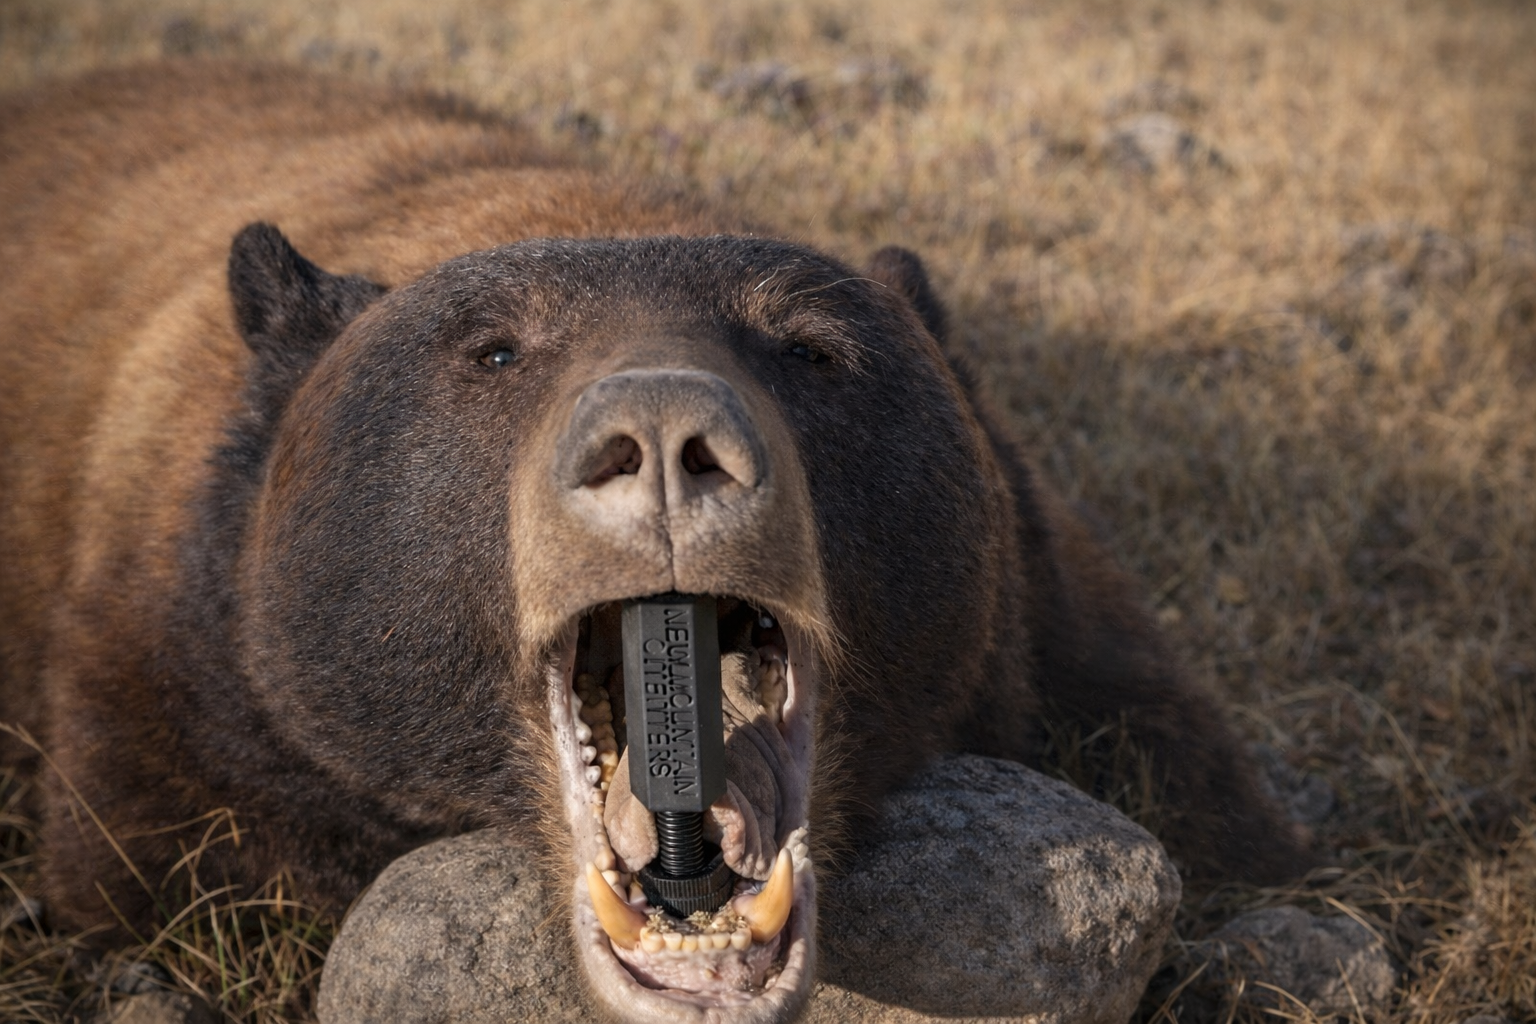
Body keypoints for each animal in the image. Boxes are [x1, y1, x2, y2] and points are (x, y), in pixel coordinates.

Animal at [0, 61, 1306, 1023]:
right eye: (491, 350)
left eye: (812, 346)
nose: (671, 433)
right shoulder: (171, 667)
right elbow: (162, 874)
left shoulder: (1055, 608)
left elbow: (1203, 798)